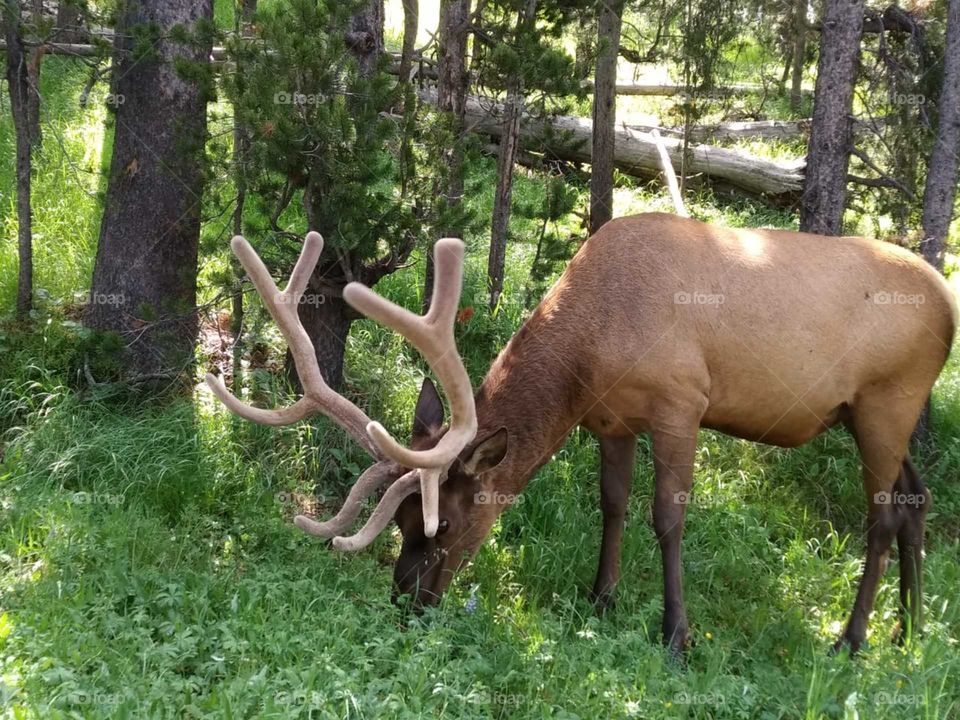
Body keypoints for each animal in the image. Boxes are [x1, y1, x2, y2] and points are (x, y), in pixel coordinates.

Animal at [207, 212, 956, 657]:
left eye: (447, 525)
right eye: (398, 525)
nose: (407, 602)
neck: (592, 346)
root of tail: (948, 303)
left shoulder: (681, 401)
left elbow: (667, 518)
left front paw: (676, 635)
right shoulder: (611, 419)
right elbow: (612, 503)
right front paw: (601, 599)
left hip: (887, 400)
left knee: (882, 516)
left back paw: (853, 639)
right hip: (868, 414)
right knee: (916, 499)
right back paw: (909, 627)